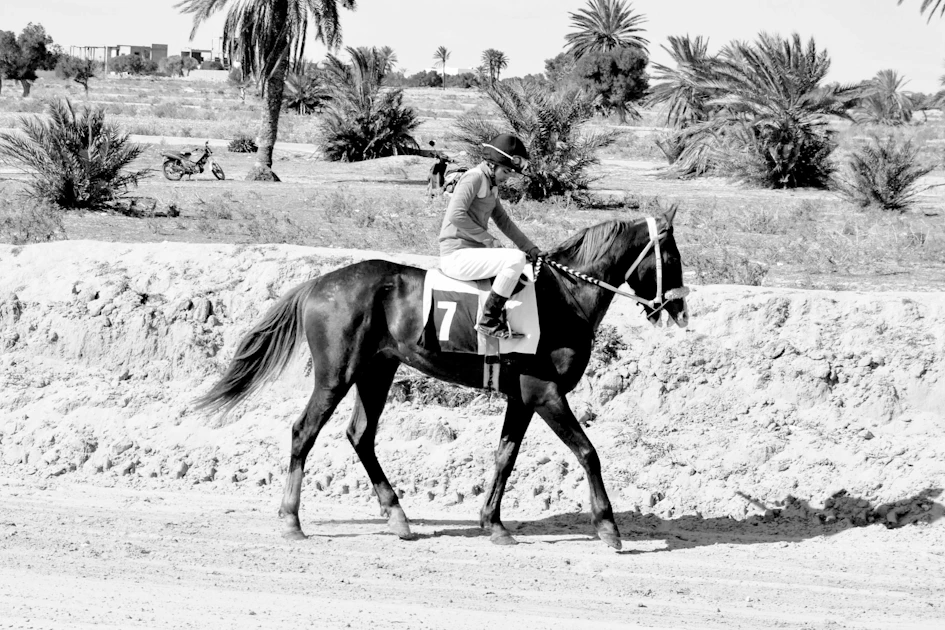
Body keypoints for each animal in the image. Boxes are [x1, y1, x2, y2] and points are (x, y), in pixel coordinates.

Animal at [195, 207, 689, 550]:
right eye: (671, 255)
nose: (681, 309)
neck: (562, 298)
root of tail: (320, 282)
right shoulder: (544, 393)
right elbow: (588, 453)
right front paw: (608, 526)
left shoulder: (521, 399)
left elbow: (505, 457)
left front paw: (494, 524)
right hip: (336, 375)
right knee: (304, 432)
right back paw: (292, 520)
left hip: (377, 371)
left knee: (361, 435)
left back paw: (397, 516)